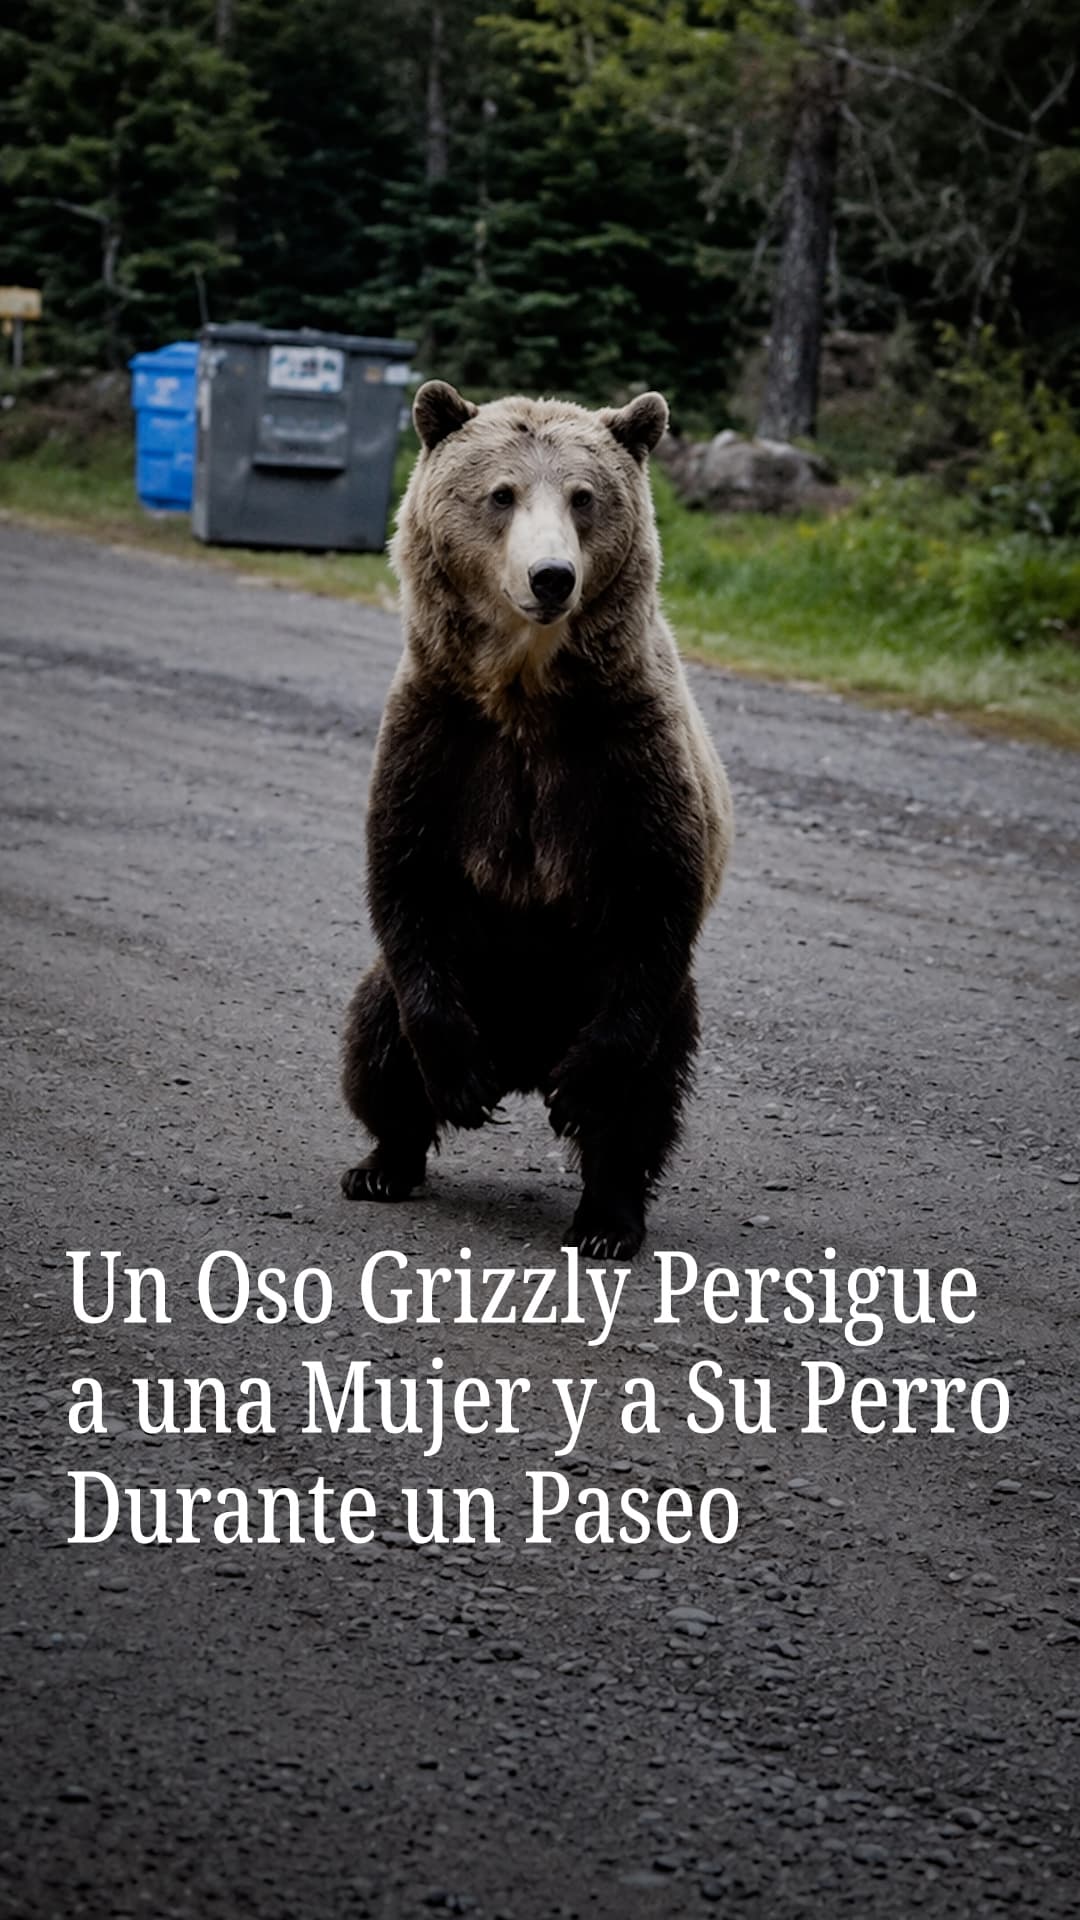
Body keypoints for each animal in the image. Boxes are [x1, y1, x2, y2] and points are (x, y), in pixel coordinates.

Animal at [340, 378, 733, 1258]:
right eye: (501, 493)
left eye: (584, 497)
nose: (551, 576)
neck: (524, 696)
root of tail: (523, 1057)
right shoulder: (440, 738)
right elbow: (404, 875)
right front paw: (454, 1086)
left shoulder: (628, 753)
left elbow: (657, 892)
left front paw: (580, 1096)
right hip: (463, 979)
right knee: (378, 1038)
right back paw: (384, 1162)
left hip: (626, 1002)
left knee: (646, 1095)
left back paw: (608, 1217)